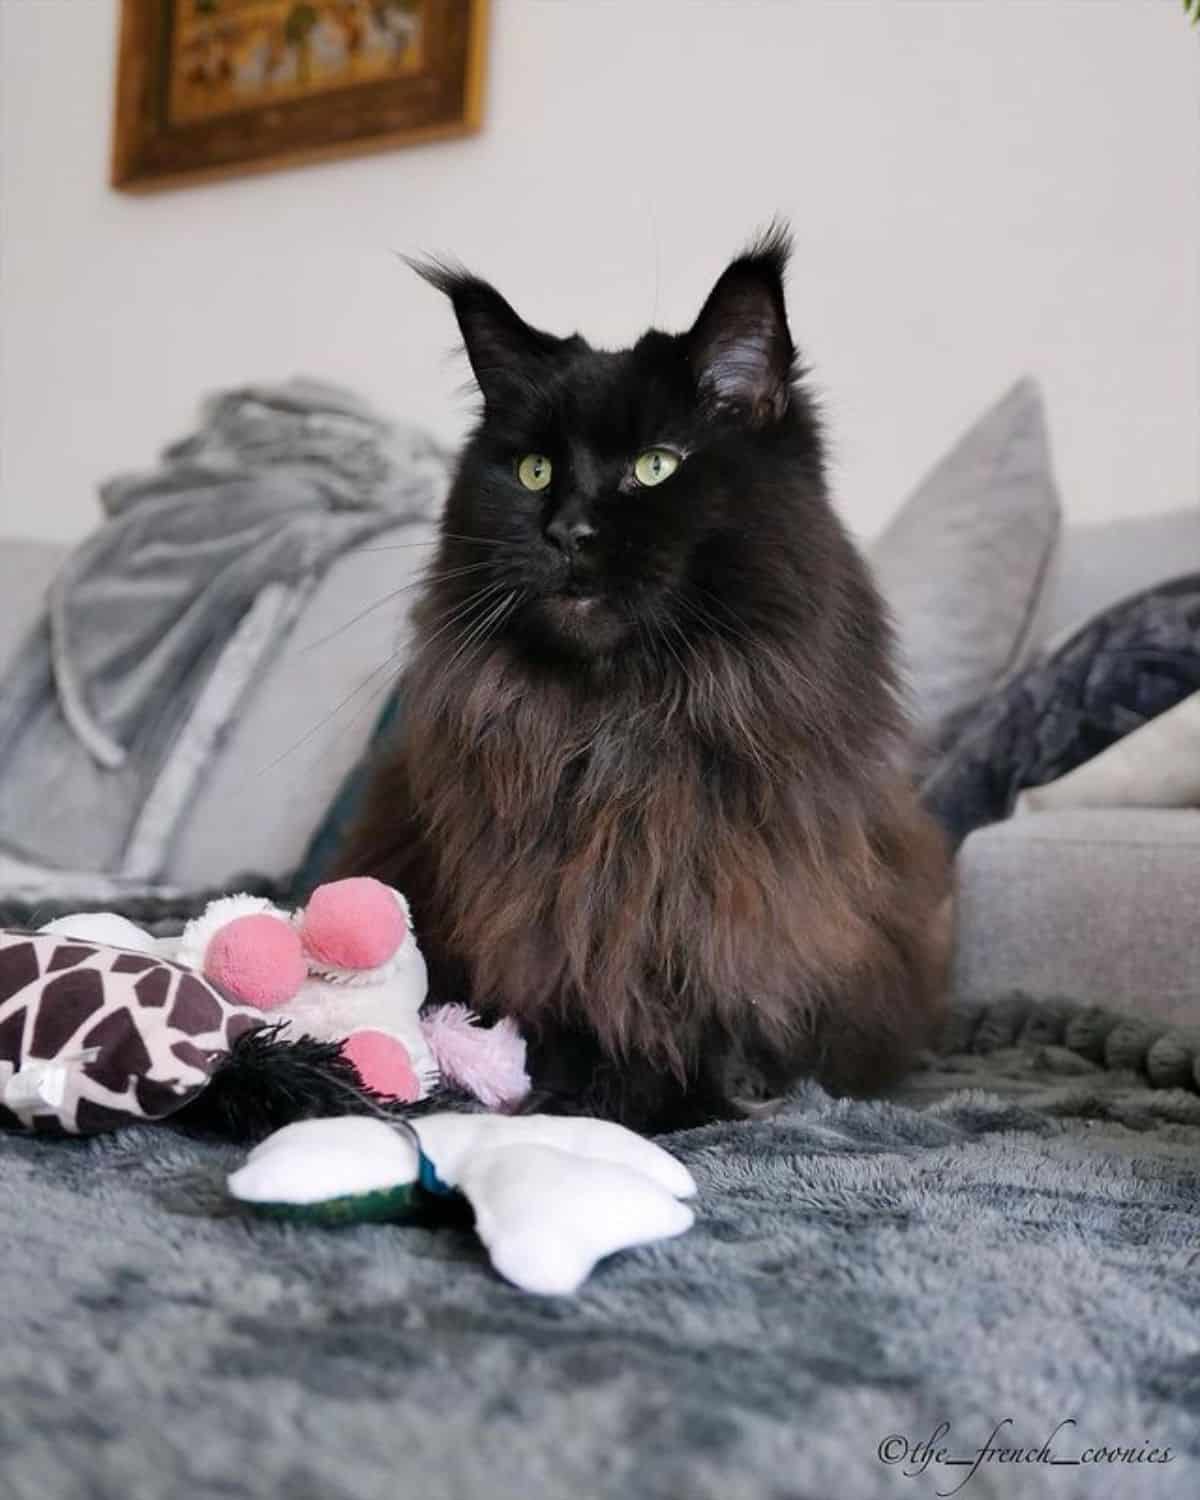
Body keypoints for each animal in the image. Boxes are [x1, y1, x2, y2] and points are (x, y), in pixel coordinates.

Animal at [333, 228, 954, 1128]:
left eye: (655, 467)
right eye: (534, 471)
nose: (568, 530)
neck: (621, 726)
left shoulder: (730, 904)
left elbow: (721, 1005)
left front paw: (710, 1101)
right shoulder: (544, 915)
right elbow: (571, 1013)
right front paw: (583, 1100)